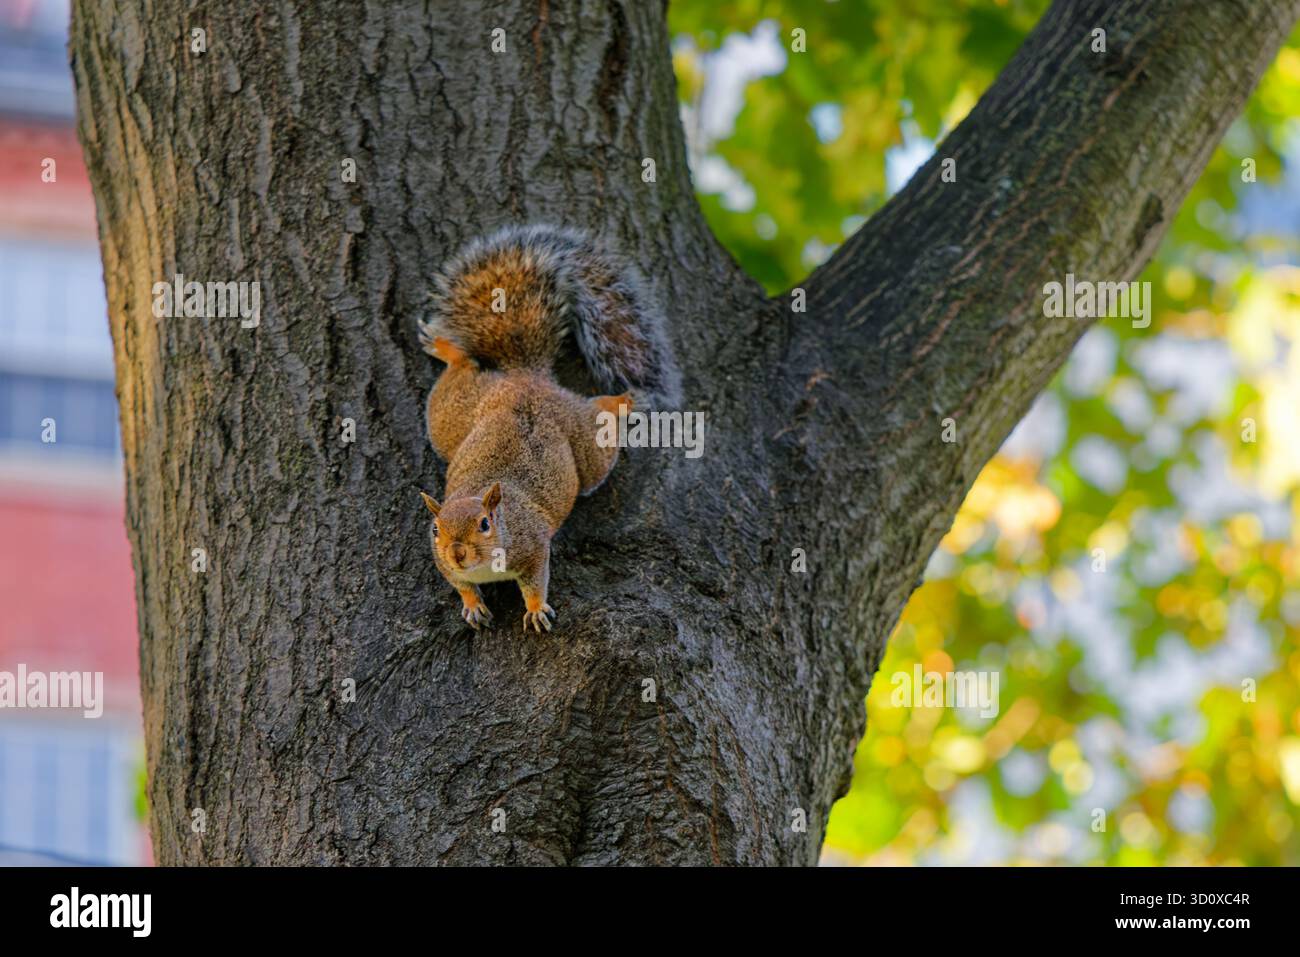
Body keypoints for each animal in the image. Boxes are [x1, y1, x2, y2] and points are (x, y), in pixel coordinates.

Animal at [417, 225, 680, 632]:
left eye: (484, 524)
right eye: (435, 530)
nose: (457, 553)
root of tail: (526, 378)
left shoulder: (534, 545)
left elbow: (536, 579)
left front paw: (537, 608)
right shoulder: (441, 562)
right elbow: (459, 584)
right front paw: (472, 604)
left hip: (583, 439)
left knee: (598, 421)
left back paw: (625, 401)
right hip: (454, 413)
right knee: (462, 368)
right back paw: (447, 347)